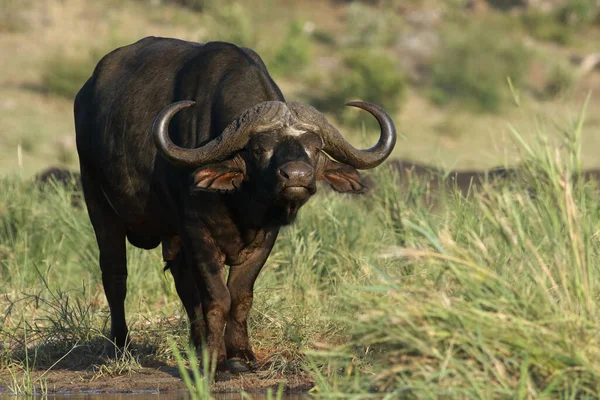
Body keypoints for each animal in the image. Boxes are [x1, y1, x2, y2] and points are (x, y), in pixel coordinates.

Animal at [72, 36, 396, 378]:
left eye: (316, 148)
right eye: (259, 149)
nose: (297, 176)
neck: (242, 205)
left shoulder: (265, 237)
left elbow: (240, 295)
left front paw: (239, 355)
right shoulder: (198, 232)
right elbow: (217, 297)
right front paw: (215, 361)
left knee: (182, 283)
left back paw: (195, 345)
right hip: (99, 206)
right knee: (115, 276)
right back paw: (121, 345)